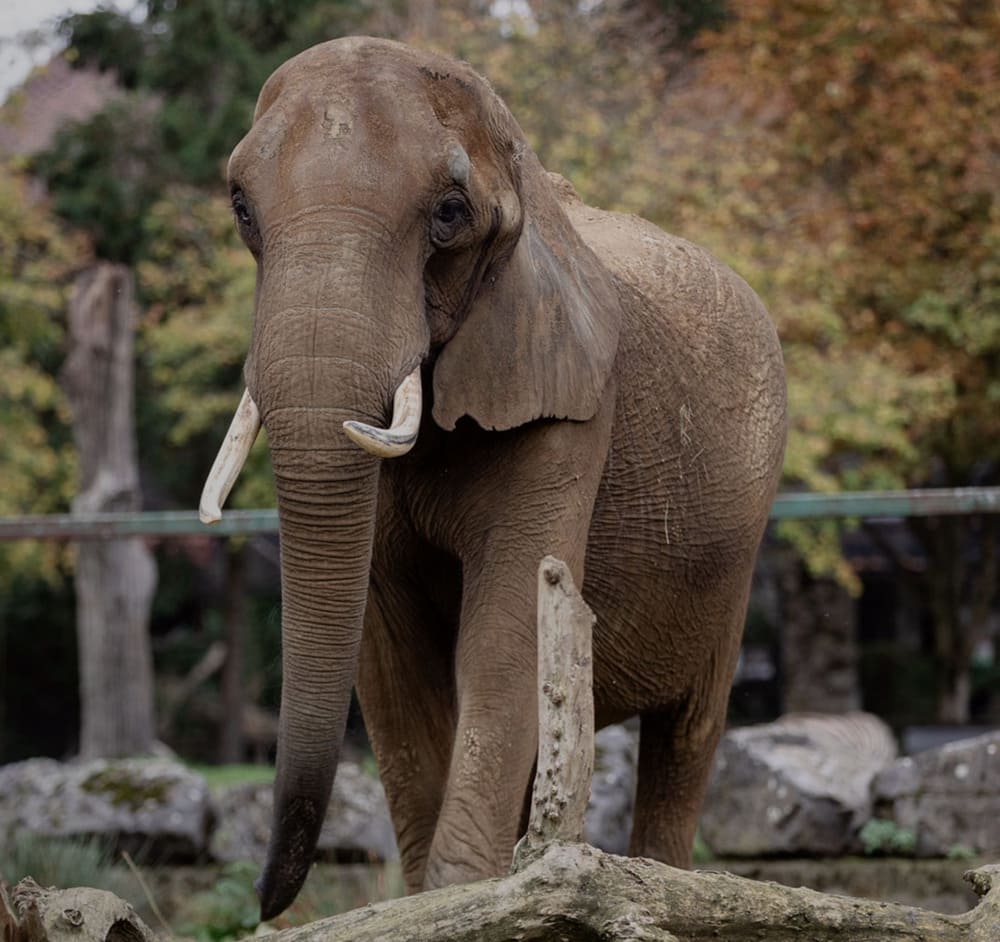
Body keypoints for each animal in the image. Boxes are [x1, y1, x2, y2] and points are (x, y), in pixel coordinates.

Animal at [199, 36, 786, 920]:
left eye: (449, 213)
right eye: (240, 207)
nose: (264, 903)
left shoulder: (571, 403)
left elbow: (506, 632)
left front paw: (462, 900)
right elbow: (390, 661)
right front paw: (433, 908)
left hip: (735, 561)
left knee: (687, 738)